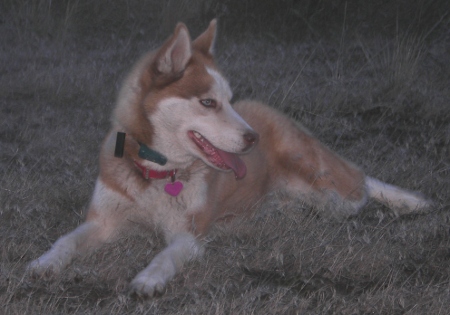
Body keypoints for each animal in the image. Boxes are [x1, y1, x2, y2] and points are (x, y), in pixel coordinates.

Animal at [26, 20, 430, 298]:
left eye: (229, 99)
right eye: (208, 102)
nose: (253, 138)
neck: (158, 172)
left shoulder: (189, 235)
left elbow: (165, 256)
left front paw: (149, 278)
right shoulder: (103, 221)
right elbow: (65, 241)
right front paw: (44, 263)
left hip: (326, 188)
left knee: (361, 183)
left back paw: (407, 202)